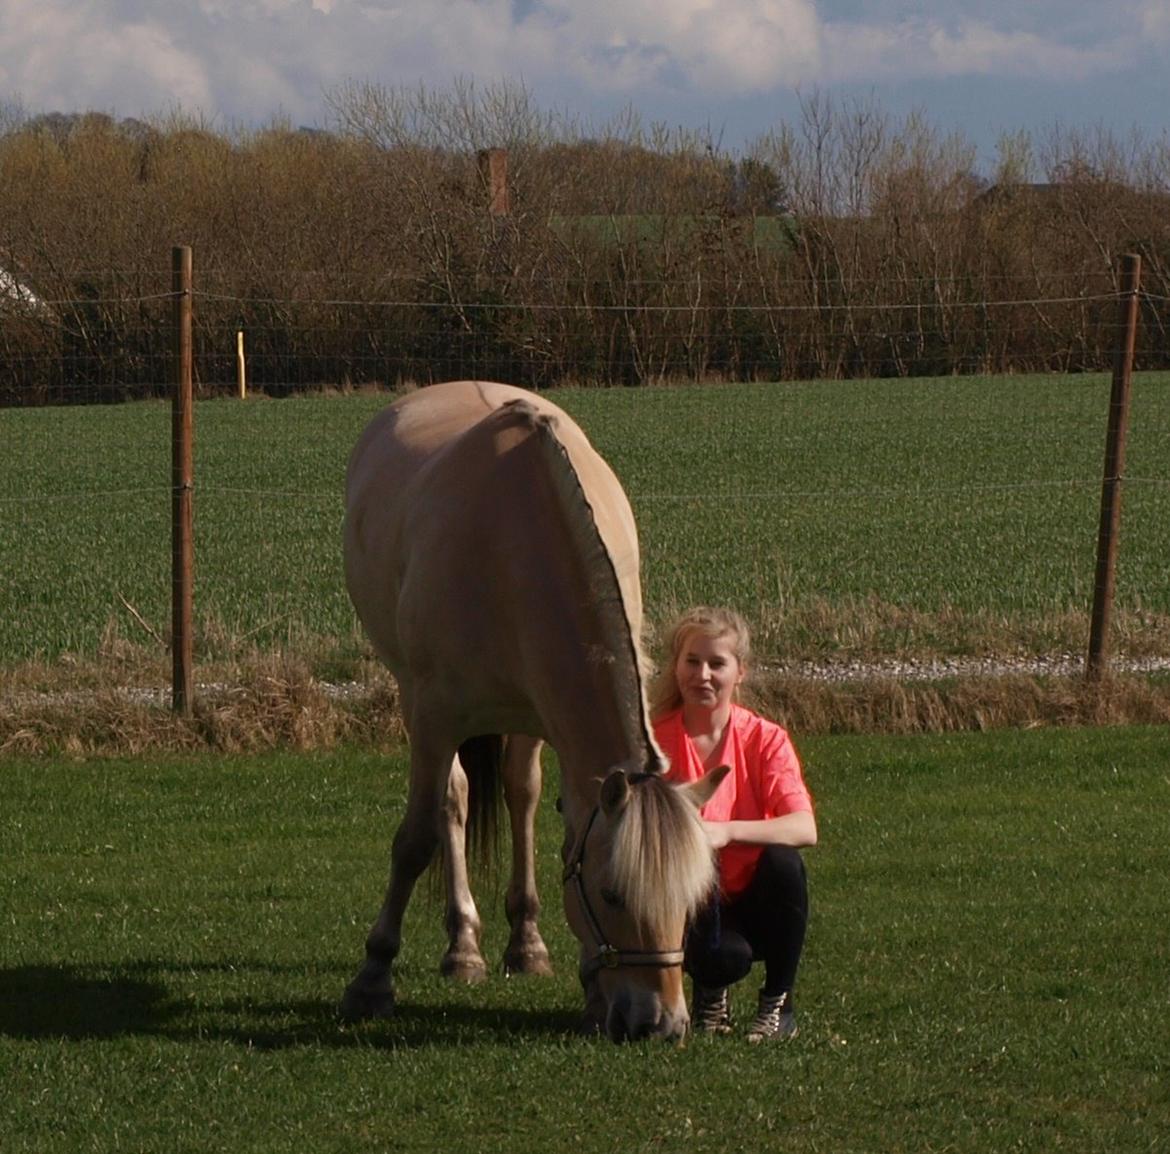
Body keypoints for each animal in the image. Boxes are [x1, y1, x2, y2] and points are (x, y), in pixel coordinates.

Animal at [341, 381, 720, 1039]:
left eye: (691, 901)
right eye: (613, 895)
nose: (662, 1024)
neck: (513, 544)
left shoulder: (557, 724)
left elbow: (557, 823)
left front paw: (581, 981)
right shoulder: (433, 716)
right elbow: (416, 839)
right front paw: (372, 978)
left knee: (519, 795)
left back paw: (523, 942)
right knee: (455, 801)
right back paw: (463, 946)